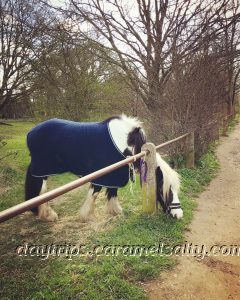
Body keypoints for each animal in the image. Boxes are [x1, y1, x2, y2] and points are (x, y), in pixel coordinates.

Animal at [24, 115, 182, 223]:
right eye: (164, 189)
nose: (179, 214)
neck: (126, 143)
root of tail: (31, 132)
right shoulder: (101, 176)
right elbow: (94, 193)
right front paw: (85, 216)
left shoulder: (114, 174)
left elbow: (112, 192)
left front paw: (116, 211)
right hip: (42, 172)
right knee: (42, 192)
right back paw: (48, 215)